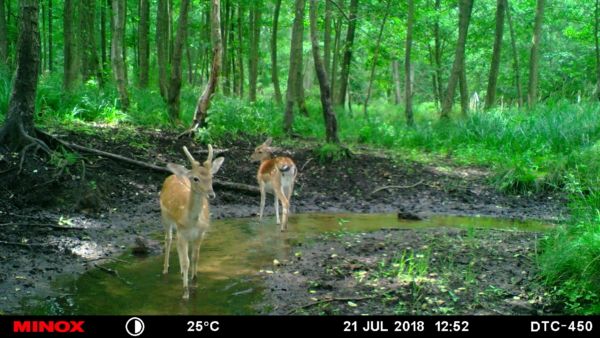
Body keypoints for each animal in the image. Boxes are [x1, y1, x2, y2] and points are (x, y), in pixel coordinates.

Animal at [159, 144, 225, 300]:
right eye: (196, 178)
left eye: (212, 176)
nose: (211, 194)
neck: (192, 221)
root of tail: (173, 175)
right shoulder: (182, 232)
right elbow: (185, 262)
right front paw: (185, 292)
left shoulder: (201, 233)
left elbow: (195, 257)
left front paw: (194, 280)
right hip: (165, 217)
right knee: (168, 239)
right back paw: (165, 269)